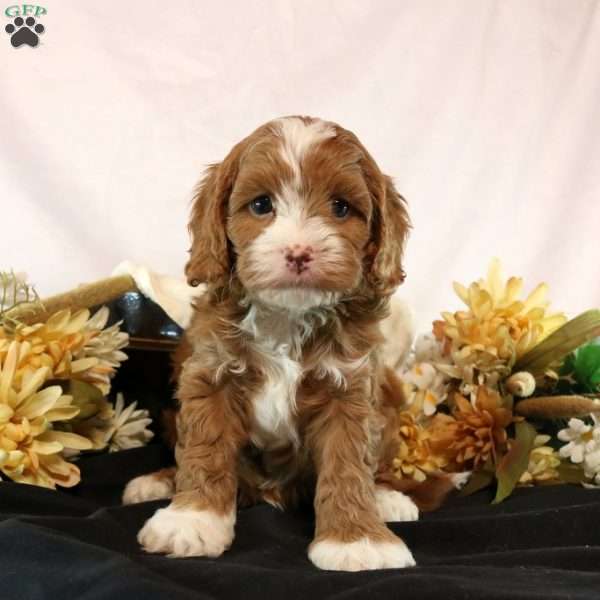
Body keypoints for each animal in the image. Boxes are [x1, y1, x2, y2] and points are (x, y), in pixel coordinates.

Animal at [123, 115, 454, 568]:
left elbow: (349, 464)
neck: (287, 317)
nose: (299, 252)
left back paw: (387, 498)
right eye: (261, 205)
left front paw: (357, 541)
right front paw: (192, 522)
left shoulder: (350, 388)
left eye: (341, 207)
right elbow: (205, 449)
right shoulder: (210, 374)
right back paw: (158, 482)